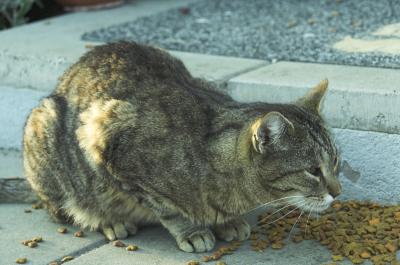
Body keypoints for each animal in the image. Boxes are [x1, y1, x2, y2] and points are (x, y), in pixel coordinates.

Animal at [22, 41, 340, 252]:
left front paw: (227, 221)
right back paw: (108, 220)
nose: (338, 193)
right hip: (46, 129)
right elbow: (168, 209)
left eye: (336, 163)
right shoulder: (107, 146)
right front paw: (193, 229)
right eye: (313, 170)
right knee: (63, 207)